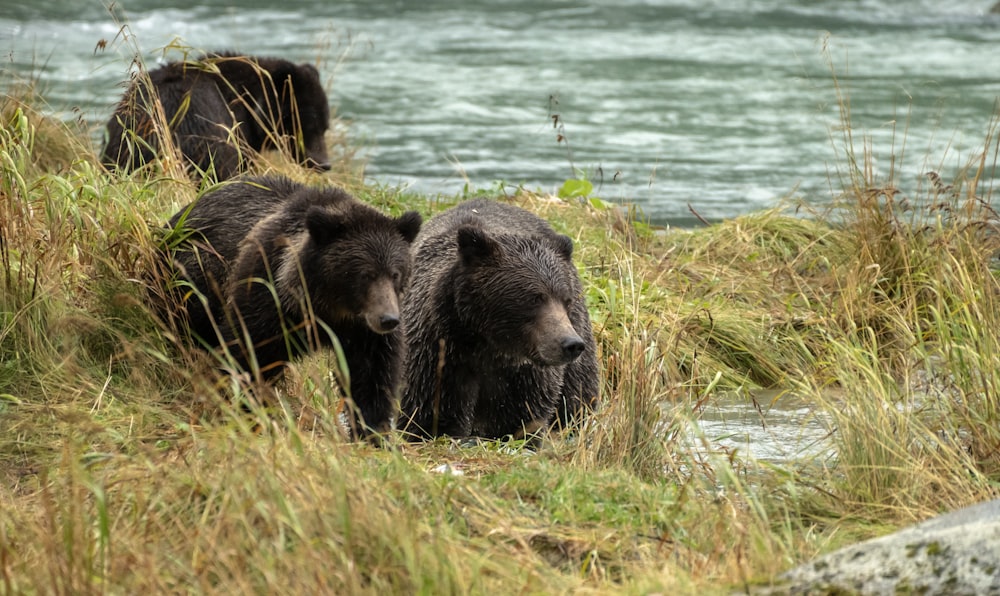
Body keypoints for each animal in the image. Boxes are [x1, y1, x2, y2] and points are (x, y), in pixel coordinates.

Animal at [159, 175, 422, 436]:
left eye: (395, 273)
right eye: (365, 274)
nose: (388, 319)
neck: (325, 308)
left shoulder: (363, 332)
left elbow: (371, 377)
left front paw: (373, 431)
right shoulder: (266, 296)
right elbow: (248, 353)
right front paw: (246, 408)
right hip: (191, 282)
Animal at [398, 198, 600, 440]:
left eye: (565, 299)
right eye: (535, 298)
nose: (571, 344)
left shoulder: (523, 375)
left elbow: (519, 417)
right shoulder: (437, 354)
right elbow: (428, 412)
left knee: (577, 394)